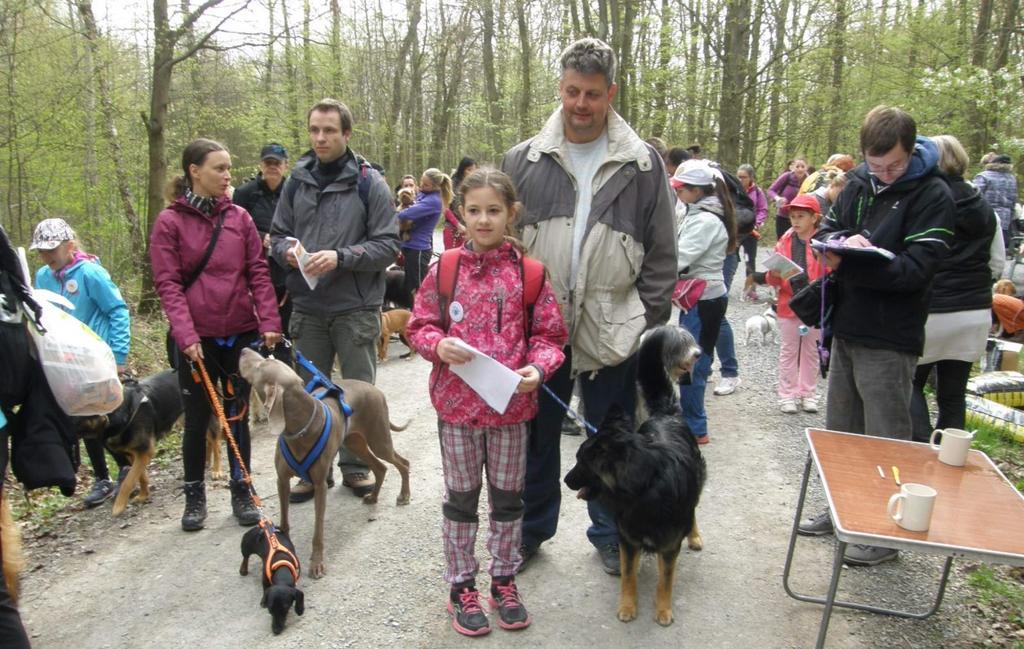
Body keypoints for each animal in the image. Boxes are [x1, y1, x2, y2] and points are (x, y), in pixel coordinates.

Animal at [239, 348, 411, 577]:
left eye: (261, 365)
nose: (243, 350)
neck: (300, 429)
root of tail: (376, 390)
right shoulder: (282, 480)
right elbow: (284, 518)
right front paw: (283, 543)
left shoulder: (320, 485)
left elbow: (318, 530)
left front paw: (317, 563)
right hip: (354, 442)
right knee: (380, 467)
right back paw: (373, 497)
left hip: (379, 439)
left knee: (402, 463)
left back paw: (404, 495)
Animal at [565, 325, 708, 622]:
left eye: (582, 463)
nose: (565, 480)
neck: (644, 488)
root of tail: (666, 413)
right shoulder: (628, 539)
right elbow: (628, 574)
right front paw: (628, 606)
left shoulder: (669, 544)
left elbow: (666, 579)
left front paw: (663, 610)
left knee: (693, 511)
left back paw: (694, 535)